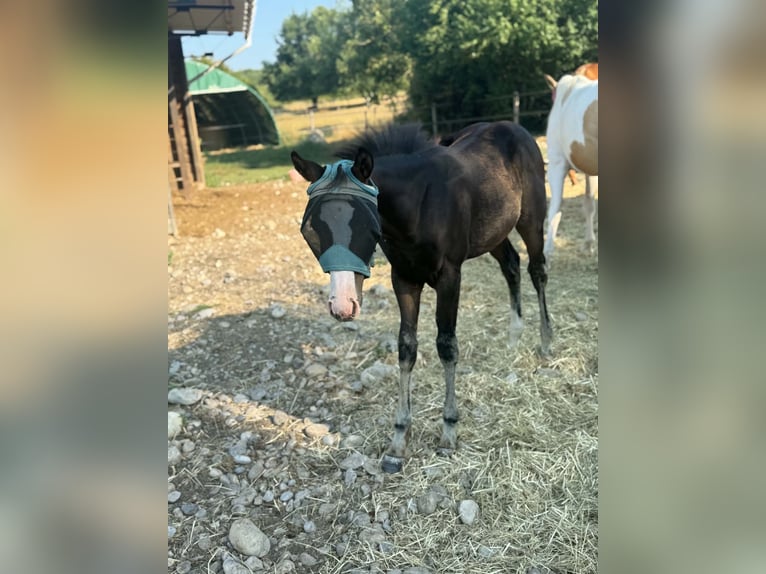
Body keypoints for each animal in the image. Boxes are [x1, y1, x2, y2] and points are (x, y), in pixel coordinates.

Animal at [291, 121, 552, 473]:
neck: (419, 205)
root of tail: (514, 128)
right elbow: (406, 347)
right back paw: (514, 336)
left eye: (368, 226)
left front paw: (449, 433)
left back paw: (546, 340)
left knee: (537, 270)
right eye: (309, 230)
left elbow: (446, 344)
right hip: (494, 232)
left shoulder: (450, 276)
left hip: (531, 220)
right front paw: (398, 440)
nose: (343, 306)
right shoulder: (404, 278)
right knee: (511, 265)